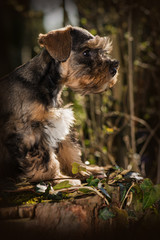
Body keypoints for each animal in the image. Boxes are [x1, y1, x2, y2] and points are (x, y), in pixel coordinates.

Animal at [0, 25, 119, 185]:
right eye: (86, 52)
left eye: (102, 51)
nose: (114, 67)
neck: (46, 84)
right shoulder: (31, 131)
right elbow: (45, 159)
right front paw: (59, 179)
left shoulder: (60, 124)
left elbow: (69, 151)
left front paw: (84, 170)